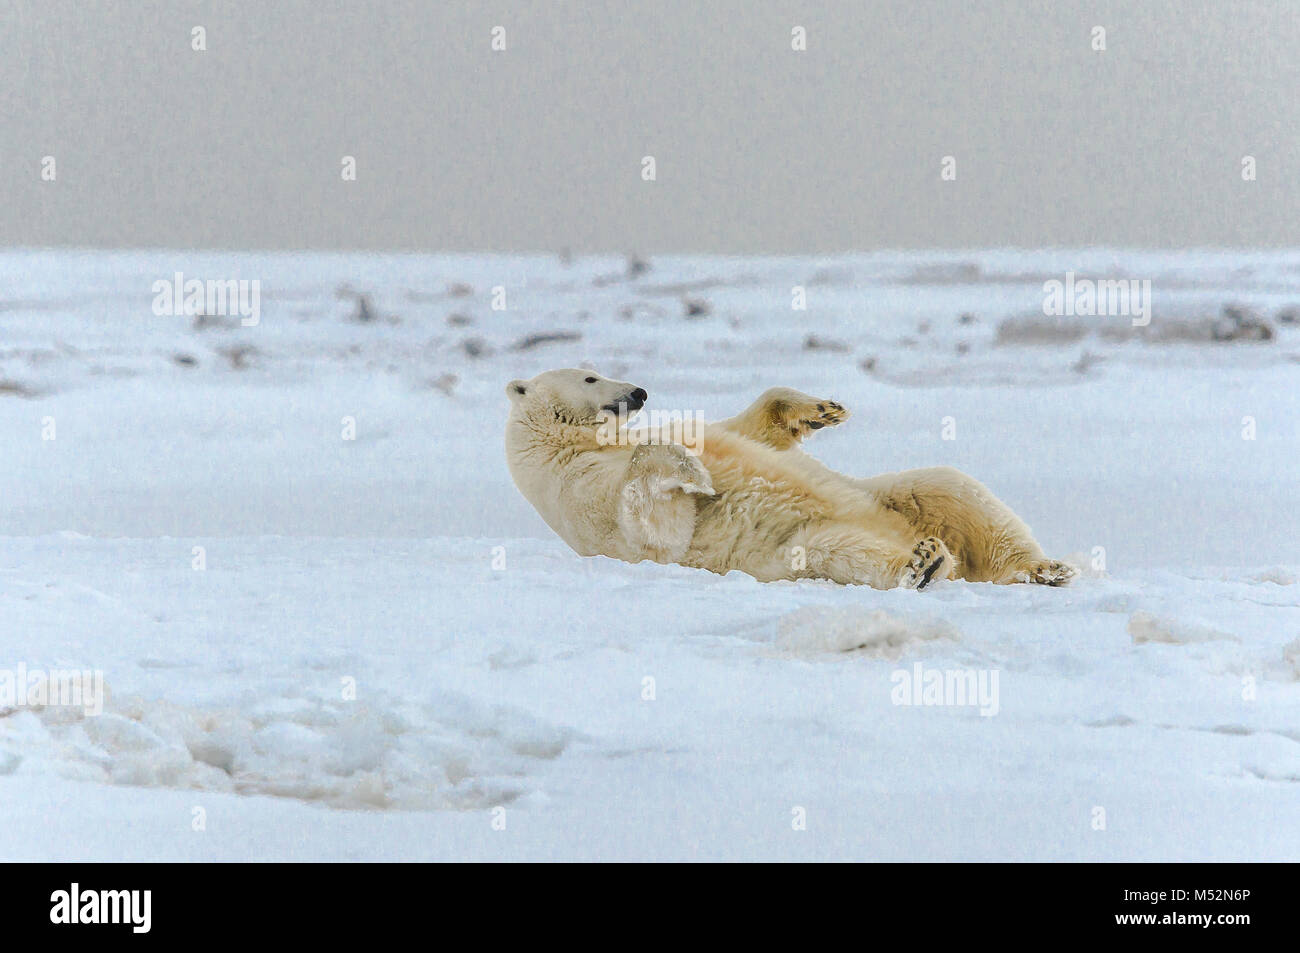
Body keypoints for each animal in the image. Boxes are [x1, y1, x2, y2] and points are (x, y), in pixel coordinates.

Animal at [504, 369, 1076, 587]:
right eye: (590, 376)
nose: (639, 392)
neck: (568, 446)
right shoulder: (580, 493)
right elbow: (655, 526)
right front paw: (695, 473)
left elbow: (749, 429)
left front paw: (824, 409)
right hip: (788, 548)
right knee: (840, 549)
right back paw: (925, 564)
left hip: (891, 498)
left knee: (951, 489)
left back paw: (1042, 568)